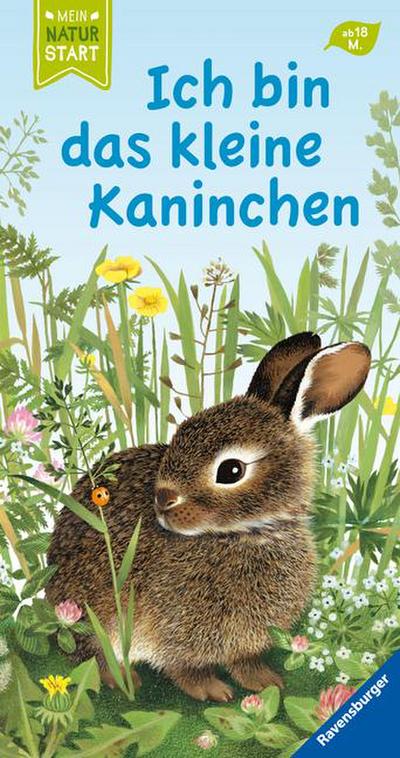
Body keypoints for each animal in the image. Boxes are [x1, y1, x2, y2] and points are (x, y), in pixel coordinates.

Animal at [46, 332, 371, 701]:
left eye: (231, 470)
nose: (162, 499)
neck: (244, 533)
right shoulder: (172, 631)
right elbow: (184, 668)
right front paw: (213, 690)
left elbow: (244, 661)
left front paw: (265, 682)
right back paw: (122, 679)